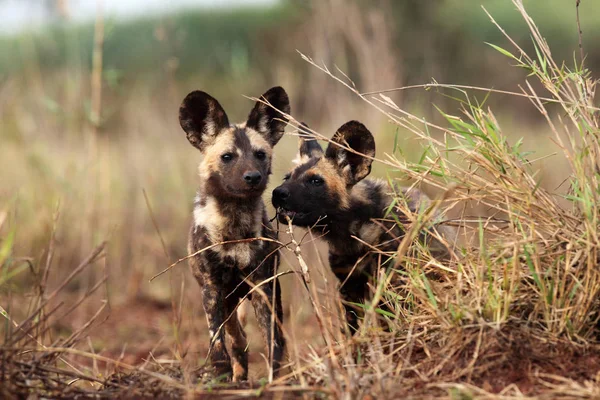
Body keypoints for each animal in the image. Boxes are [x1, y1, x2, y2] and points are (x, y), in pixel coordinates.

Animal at [178, 86, 290, 382]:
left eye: (260, 154)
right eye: (227, 157)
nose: (253, 177)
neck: (235, 224)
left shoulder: (264, 286)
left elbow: (273, 339)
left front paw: (275, 377)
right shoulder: (212, 289)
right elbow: (217, 343)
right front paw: (220, 376)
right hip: (227, 300)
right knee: (236, 337)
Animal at [272, 121, 454, 332]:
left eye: (315, 181)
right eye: (287, 178)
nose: (277, 193)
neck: (351, 235)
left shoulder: (391, 282)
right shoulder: (348, 286)